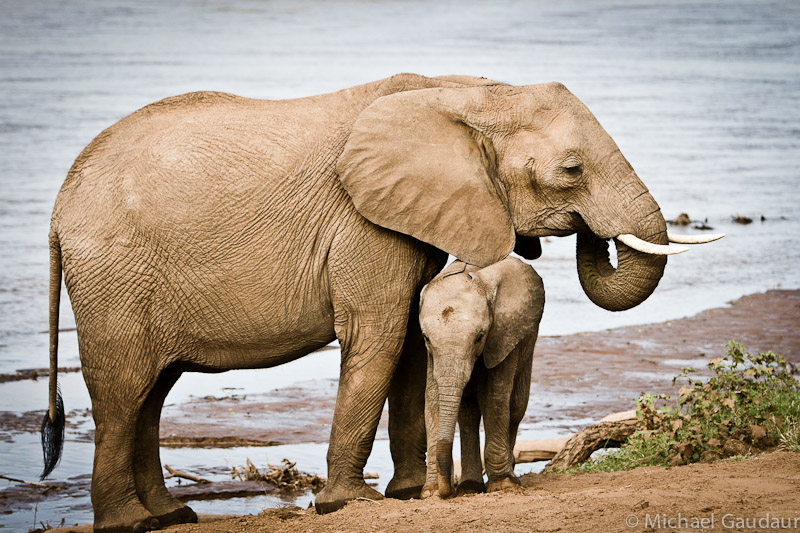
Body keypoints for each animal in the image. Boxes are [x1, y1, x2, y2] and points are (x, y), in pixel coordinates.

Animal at [418, 256, 544, 496]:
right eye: (426, 338)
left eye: (479, 337)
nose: (447, 490)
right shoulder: (430, 354)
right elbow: (432, 400)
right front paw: (430, 493)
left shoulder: (502, 334)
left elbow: (495, 398)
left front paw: (504, 485)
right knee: (469, 412)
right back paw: (470, 486)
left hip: (528, 340)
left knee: (516, 407)